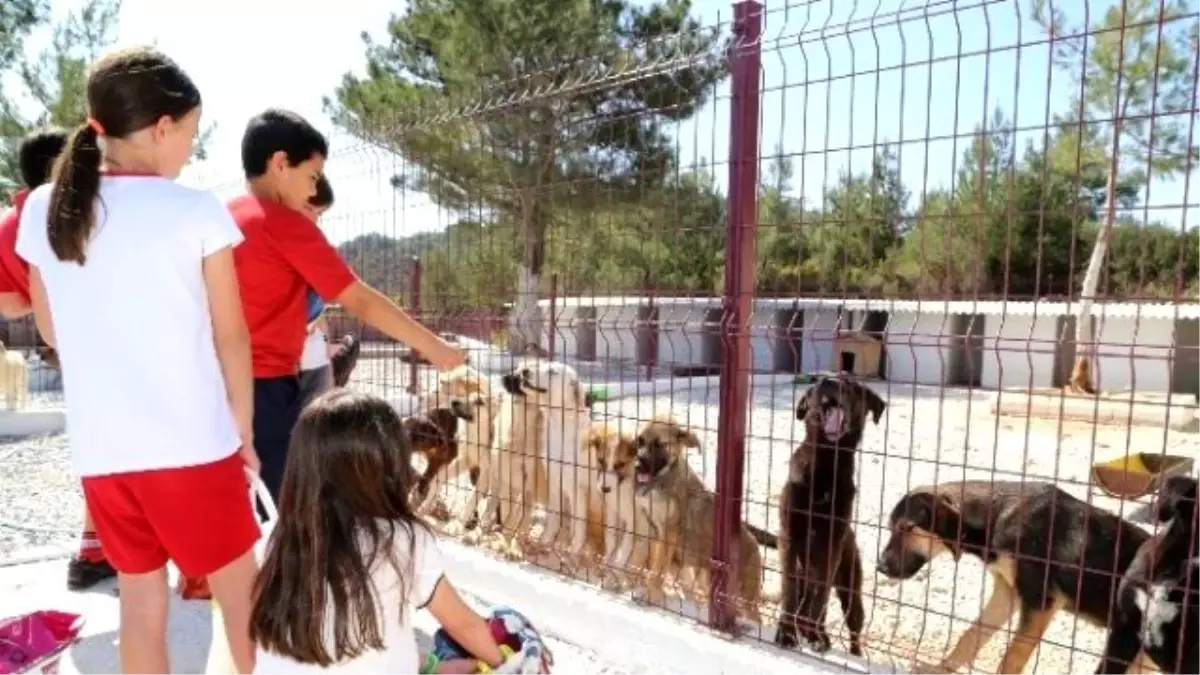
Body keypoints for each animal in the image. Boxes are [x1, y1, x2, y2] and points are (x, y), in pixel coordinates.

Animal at [768, 372, 883, 653]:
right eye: (817, 384)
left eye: (851, 384)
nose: (827, 382)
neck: (826, 466)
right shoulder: (789, 537)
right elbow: (789, 588)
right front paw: (786, 633)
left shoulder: (831, 545)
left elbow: (821, 593)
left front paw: (816, 637)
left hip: (851, 588)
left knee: (852, 626)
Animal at [878, 478, 1147, 672]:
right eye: (891, 528)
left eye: (907, 528)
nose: (880, 567)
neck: (996, 516)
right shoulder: (1007, 593)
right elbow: (971, 636)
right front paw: (939, 669)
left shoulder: (1040, 603)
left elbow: (1011, 658)